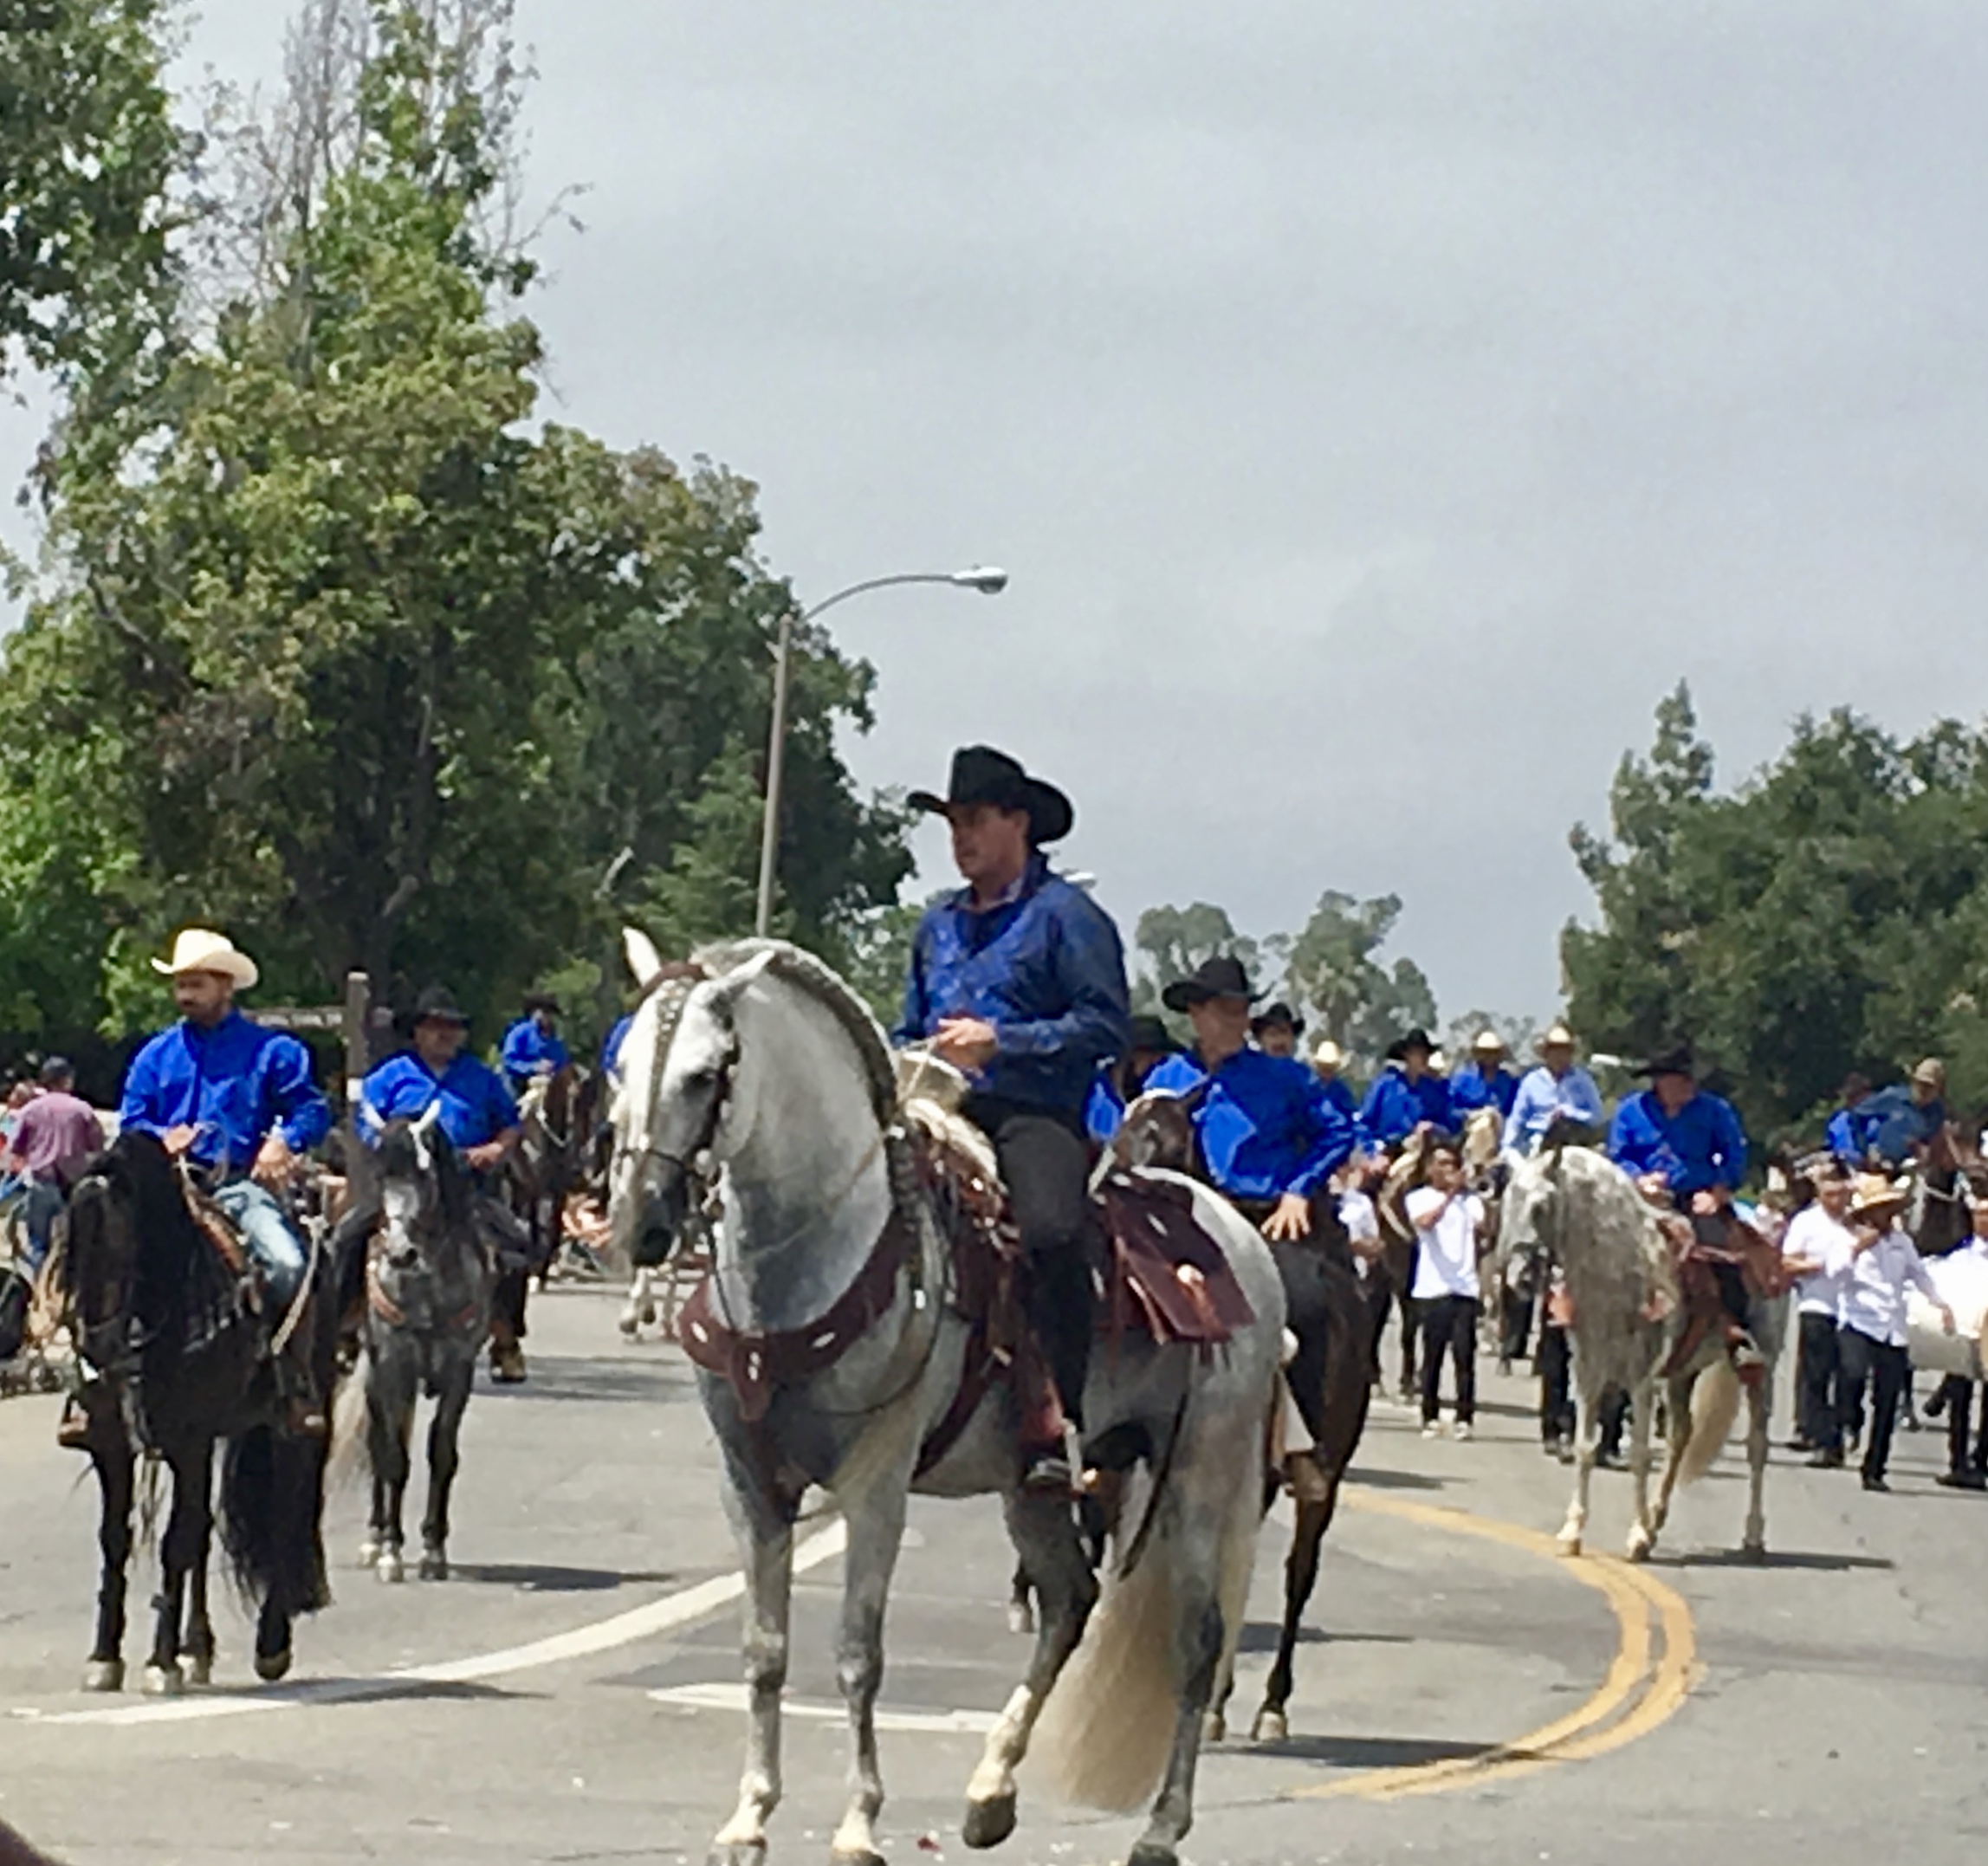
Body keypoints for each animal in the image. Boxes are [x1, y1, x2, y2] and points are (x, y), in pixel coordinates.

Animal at [55, 1130, 332, 1692]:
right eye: (71, 1250)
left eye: (116, 1247)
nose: (95, 1353)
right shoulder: (113, 1444)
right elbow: (117, 1540)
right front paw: (105, 1657)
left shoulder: (190, 1437)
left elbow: (174, 1545)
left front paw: (160, 1664)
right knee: (203, 1529)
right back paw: (197, 1649)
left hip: (287, 1431)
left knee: (281, 1516)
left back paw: (270, 1646)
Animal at [332, 1106, 493, 1584]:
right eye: (381, 1178)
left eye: (425, 1174)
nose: (400, 1253)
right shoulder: (394, 1367)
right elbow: (393, 1458)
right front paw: (391, 1550)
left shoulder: (459, 1372)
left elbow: (441, 1454)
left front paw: (433, 1548)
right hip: (375, 1375)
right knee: (378, 1444)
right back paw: (374, 1537)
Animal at [611, 934, 1285, 1866]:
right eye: (620, 1065)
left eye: (708, 1073)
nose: (636, 1224)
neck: (815, 1256)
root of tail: (1237, 1234)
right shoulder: (748, 1482)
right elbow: (763, 1651)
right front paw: (748, 1817)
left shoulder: (875, 1482)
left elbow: (857, 1653)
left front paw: (858, 1824)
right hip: (1035, 1487)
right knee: (1069, 1603)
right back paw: (989, 1793)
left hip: (1202, 1475)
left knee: (1198, 1644)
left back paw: (1160, 1828)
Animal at [1497, 1144, 1787, 1561]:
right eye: (1507, 1204)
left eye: (1540, 1206)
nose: (1519, 1277)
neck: (1619, 1275)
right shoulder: (1588, 1372)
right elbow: (1586, 1447)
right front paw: (1574, 1532)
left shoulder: (1641, 1379)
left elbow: (1638, 1452)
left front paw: (1634, 1537)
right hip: (1682, 1373)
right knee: (1681, 1435)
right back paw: (1656, 1521)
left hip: (1763, 1371)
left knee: (1757, 1449)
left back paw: (1752, 1536)